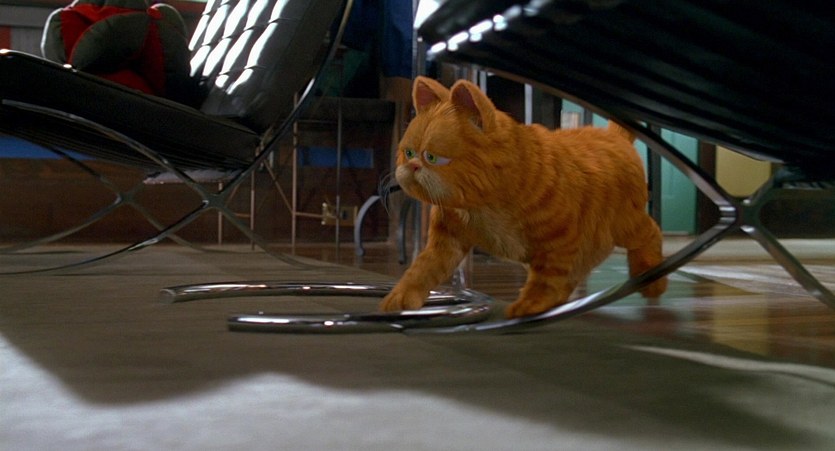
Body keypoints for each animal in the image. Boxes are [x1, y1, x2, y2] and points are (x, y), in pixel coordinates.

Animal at [380, 76, 667, 318]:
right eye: (408, 152)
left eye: (432, 158)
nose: (413, 165)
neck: (481, 205)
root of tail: (613, 136)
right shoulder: (446, 241)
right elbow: (421, 270)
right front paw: (401, 297)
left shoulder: (559, 242)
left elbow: (547, 280)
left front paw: (530, 306)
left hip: (625, 224)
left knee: (652, 233)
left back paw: (652, 281)